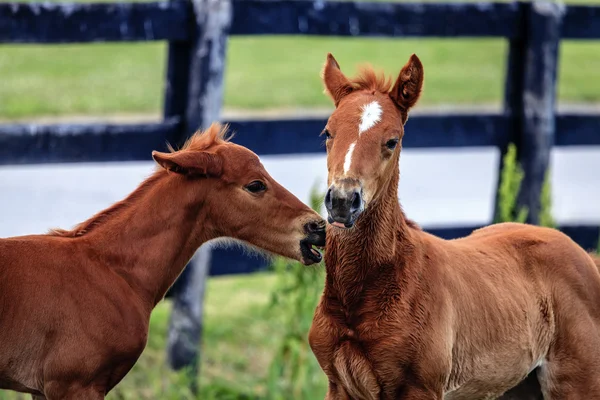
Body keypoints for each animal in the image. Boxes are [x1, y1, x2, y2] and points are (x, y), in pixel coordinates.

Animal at [308, 54, 600, 400]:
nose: (342, 200)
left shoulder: (421, 388)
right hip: (518, 386)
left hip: (578, 382)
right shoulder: (339, 386)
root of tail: (584, 256)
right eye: (328, 133)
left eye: (392, 141)